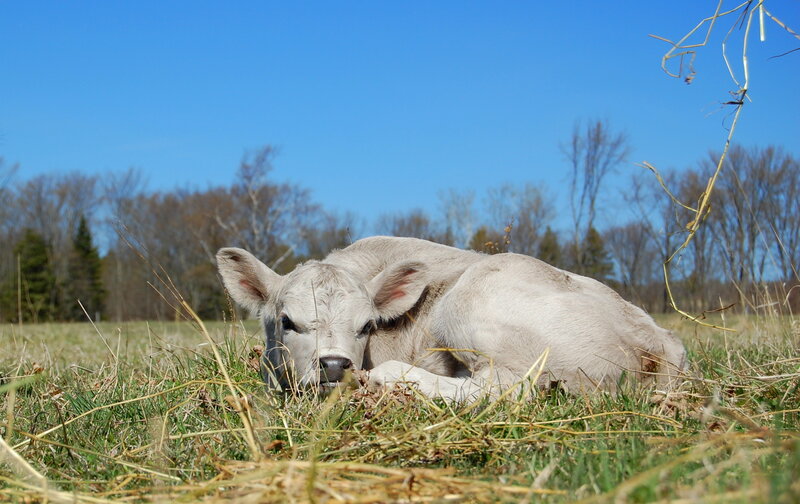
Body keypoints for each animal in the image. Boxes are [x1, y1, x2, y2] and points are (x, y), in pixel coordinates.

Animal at [216, 236, 687, 401]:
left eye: (367, 326)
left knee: (507, 387)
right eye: (287, 321)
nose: (335, 365)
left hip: (473, 302)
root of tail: (658, 342)